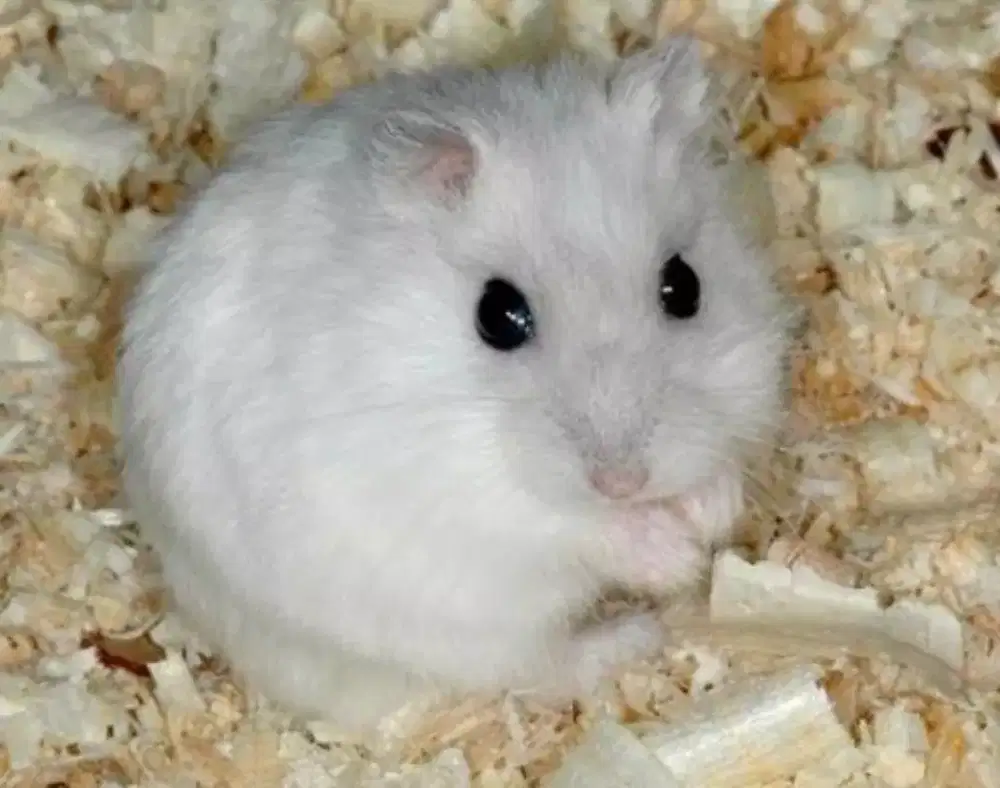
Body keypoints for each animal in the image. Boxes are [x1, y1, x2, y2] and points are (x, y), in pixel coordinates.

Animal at [117, 35, 790, 732]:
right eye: (497, 315)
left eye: (684, 286)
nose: (622, 483)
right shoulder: (463, 495)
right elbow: (569, 528)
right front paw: (680, 558)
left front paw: (713, 514)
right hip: (446, 632)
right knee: (537, 667)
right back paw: (636, 634)